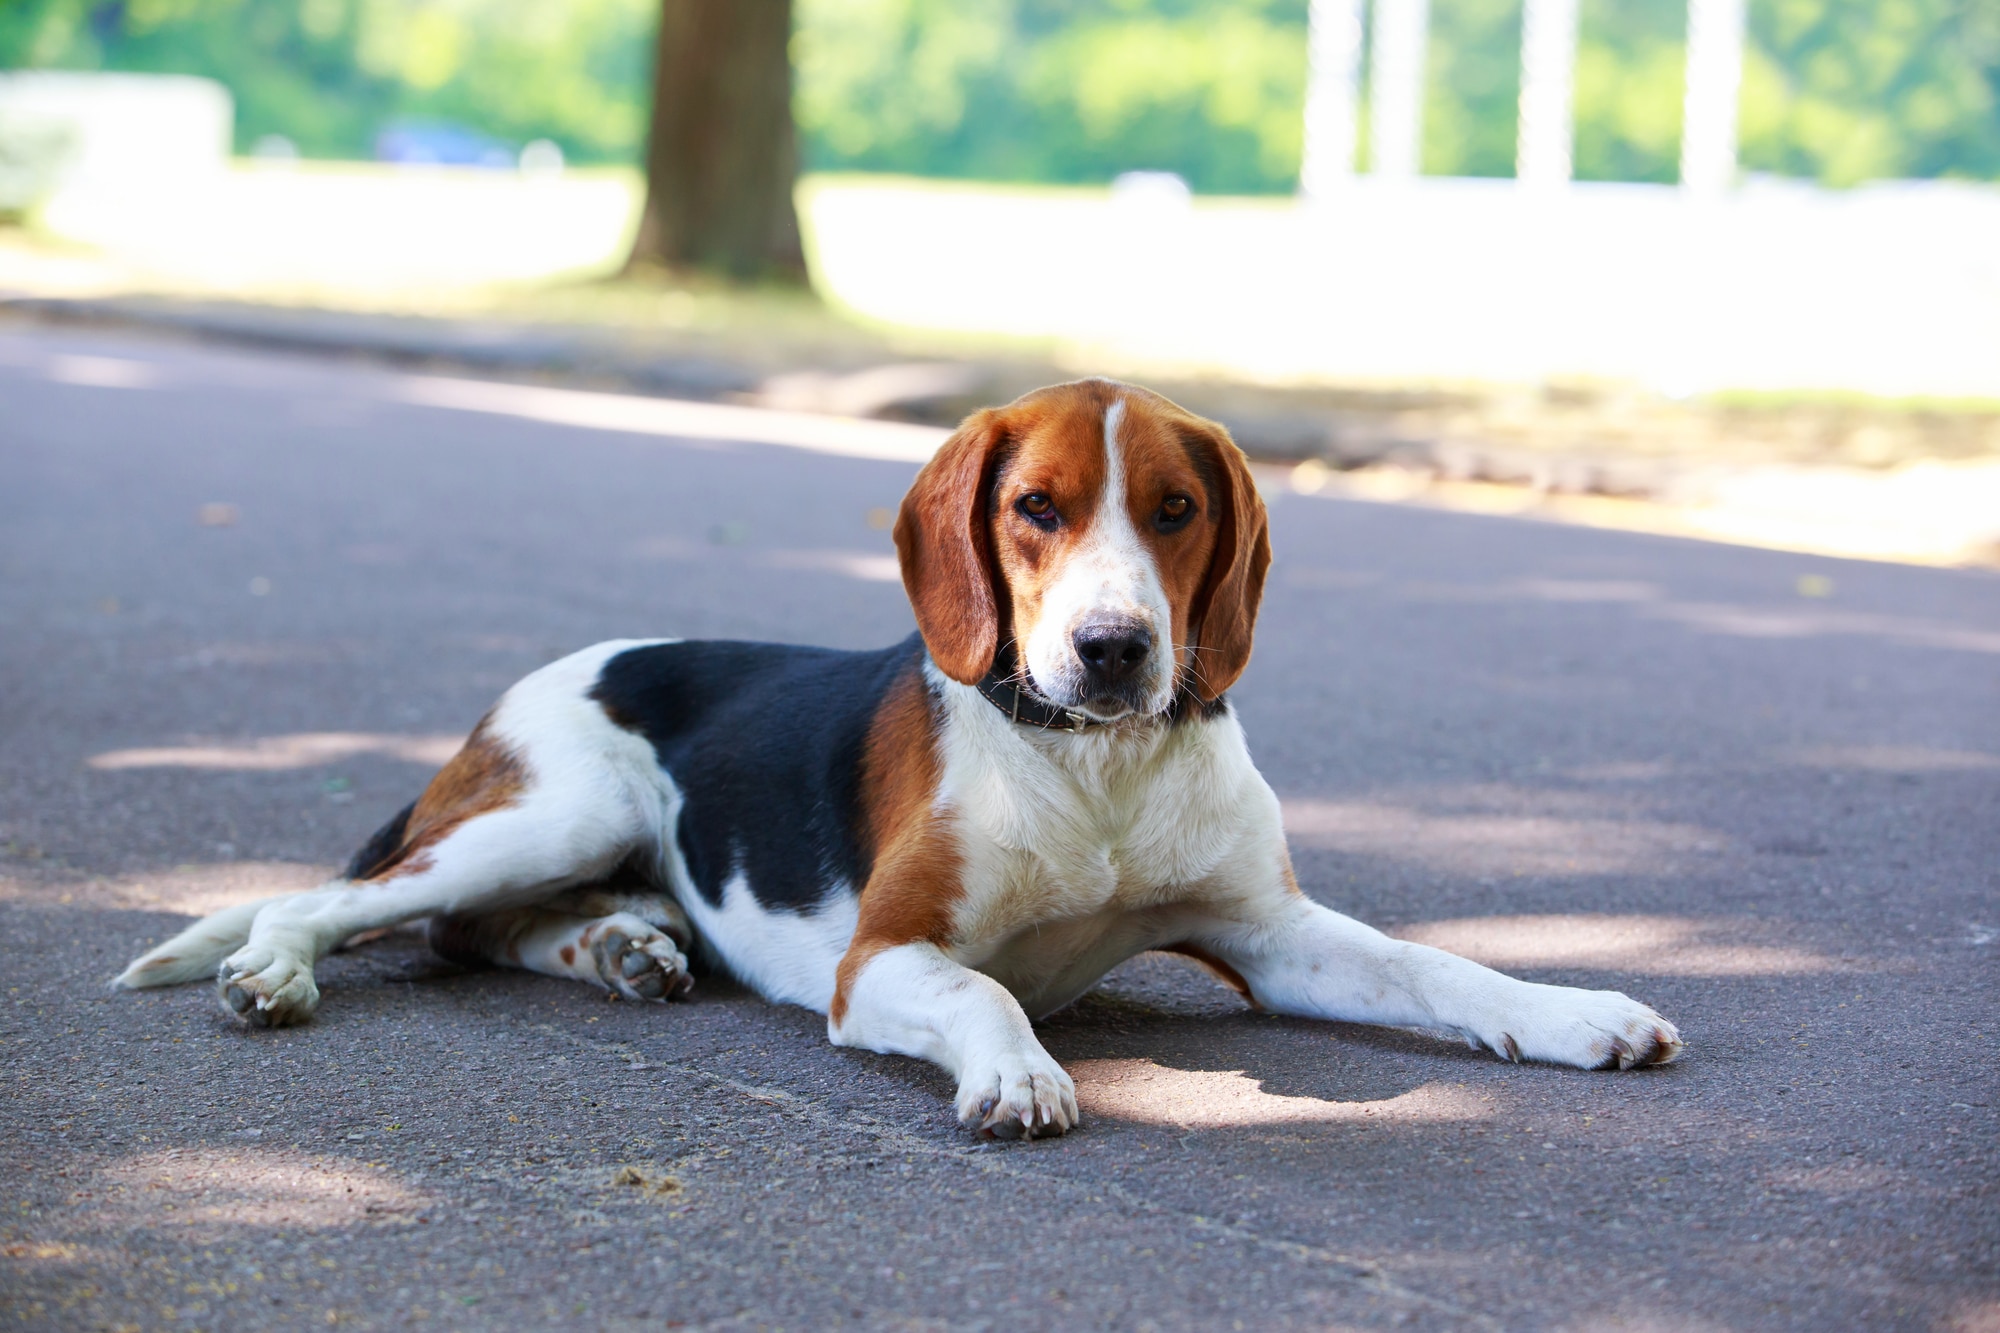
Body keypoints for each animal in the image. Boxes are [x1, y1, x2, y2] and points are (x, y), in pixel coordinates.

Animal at [117, 378, 1680, 1136]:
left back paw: (621, 948)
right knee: (349, 901)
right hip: (547, 810)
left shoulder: (1270, 932)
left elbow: (1438, 968)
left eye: (1175, 510)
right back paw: (274, 973)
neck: (1095, 772)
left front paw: (1571, 1010)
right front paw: (1019, 1075)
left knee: (478, 931)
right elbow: (987, 995)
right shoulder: (886, 959)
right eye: (1037, 506)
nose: (1114, 649)